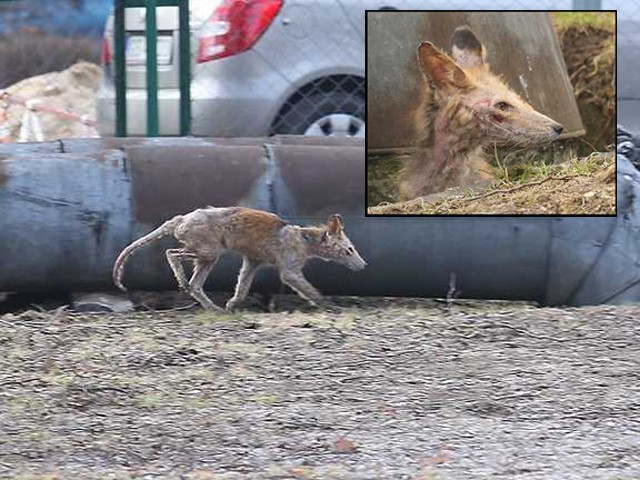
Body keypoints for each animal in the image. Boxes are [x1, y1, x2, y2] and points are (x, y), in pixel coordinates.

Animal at [112, 206, 368, 312]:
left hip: (206, 256)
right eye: (349, 250)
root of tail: (181, 218)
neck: (303, 239)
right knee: (172, 254)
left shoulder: (251, 262)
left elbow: (242, 288)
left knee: (195, 285)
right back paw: (184, 282)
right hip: (209, 252)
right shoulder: (289, 271)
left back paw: (214, 308)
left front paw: (232, 304)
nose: (364, 265)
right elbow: (312, 291)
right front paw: (331, 306)